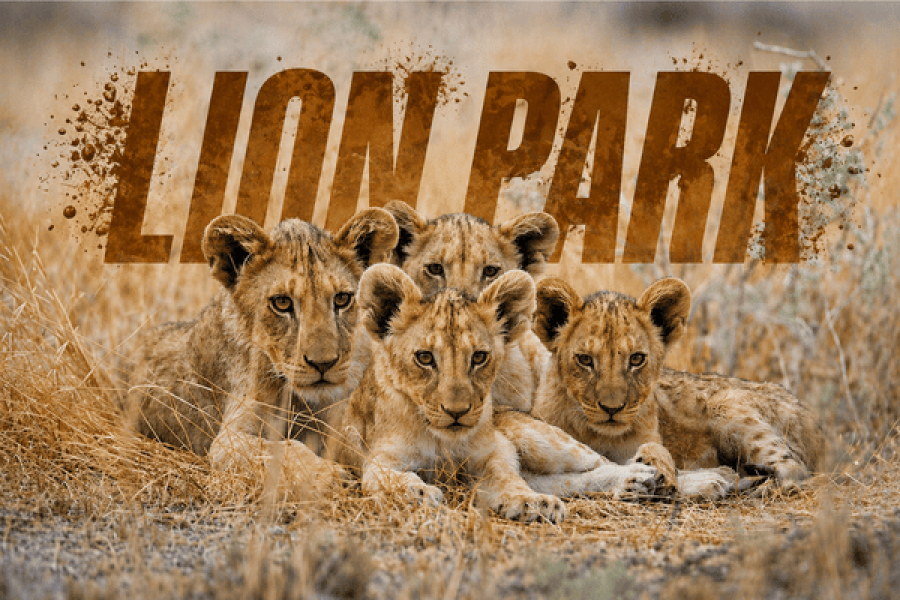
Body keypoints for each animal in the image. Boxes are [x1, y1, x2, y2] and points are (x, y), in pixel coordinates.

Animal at [128, 210, 398, 499]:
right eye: (282, 302)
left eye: (342, 299)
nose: (323, 363)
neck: (302, 403)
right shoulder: (228, 440)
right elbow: (282, 449)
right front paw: (330, 477)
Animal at [332, 265, 662, 521]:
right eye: (424, 358)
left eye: (479, 357)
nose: (457, 412)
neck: (442, 439)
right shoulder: (377, 458)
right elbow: (386, 478)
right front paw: (418, 492)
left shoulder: (495, 450)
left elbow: (506, 476)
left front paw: (531, 503)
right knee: (572, 480)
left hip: (541, 438)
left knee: (602, 462)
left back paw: (643, 477)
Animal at [531, 276, 827, 494]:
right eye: (585, 360)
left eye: (636, 359)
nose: (612, 409)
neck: (598, 435)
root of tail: (810, 415)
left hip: (728, 406)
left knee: (795, 468)